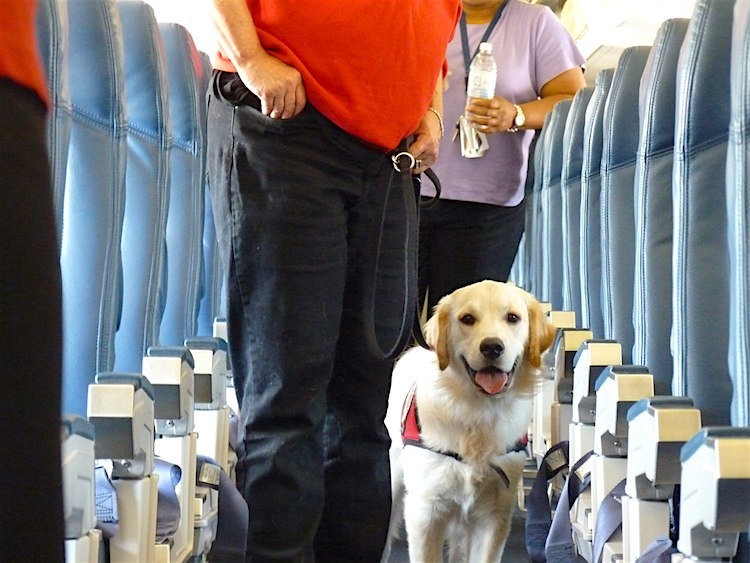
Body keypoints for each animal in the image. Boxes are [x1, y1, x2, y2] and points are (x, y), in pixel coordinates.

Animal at [384, 280, 556, 560]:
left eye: (512, 318)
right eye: (467, 318)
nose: (492, 346)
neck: (477, 411)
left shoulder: (495, 514)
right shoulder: (425, 511)